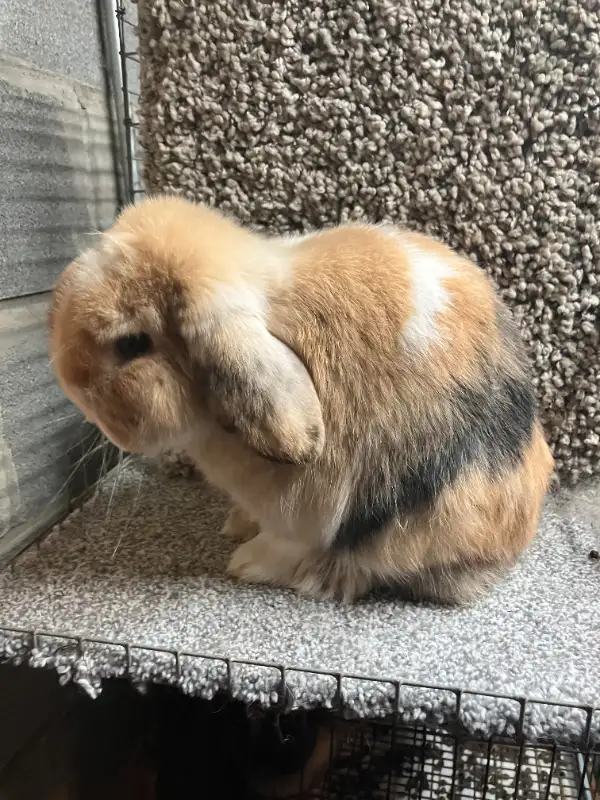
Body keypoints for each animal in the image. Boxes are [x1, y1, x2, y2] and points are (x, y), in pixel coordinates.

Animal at [49, 195, 554, 604]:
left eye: (132, 344)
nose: (69, 383)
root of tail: (519, 537)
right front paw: (235, 526)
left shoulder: (305, 510)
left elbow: (285, 543)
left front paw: (244, 561)